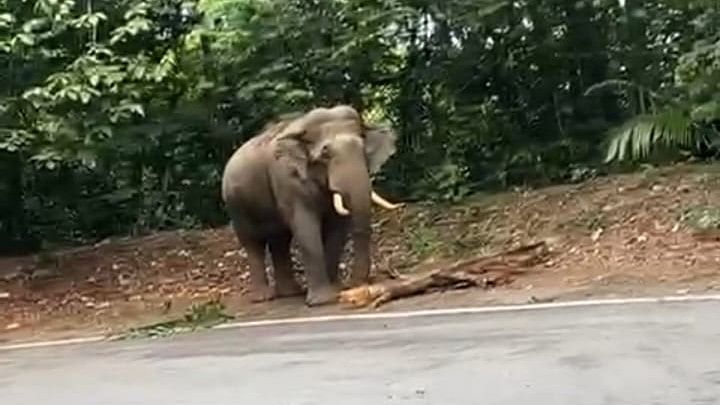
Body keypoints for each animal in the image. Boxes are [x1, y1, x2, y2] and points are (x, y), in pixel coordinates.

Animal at [222, 102, 402, 304]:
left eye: (364, 149)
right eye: (325, 153)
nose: (355, 285)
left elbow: (337, 228)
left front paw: (336, 289)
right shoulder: (288, 179)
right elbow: (305, 226)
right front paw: (323, 300)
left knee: (280, 240)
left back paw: (291, 292)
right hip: (236, 205)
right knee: (252, 242)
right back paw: (263, 297)